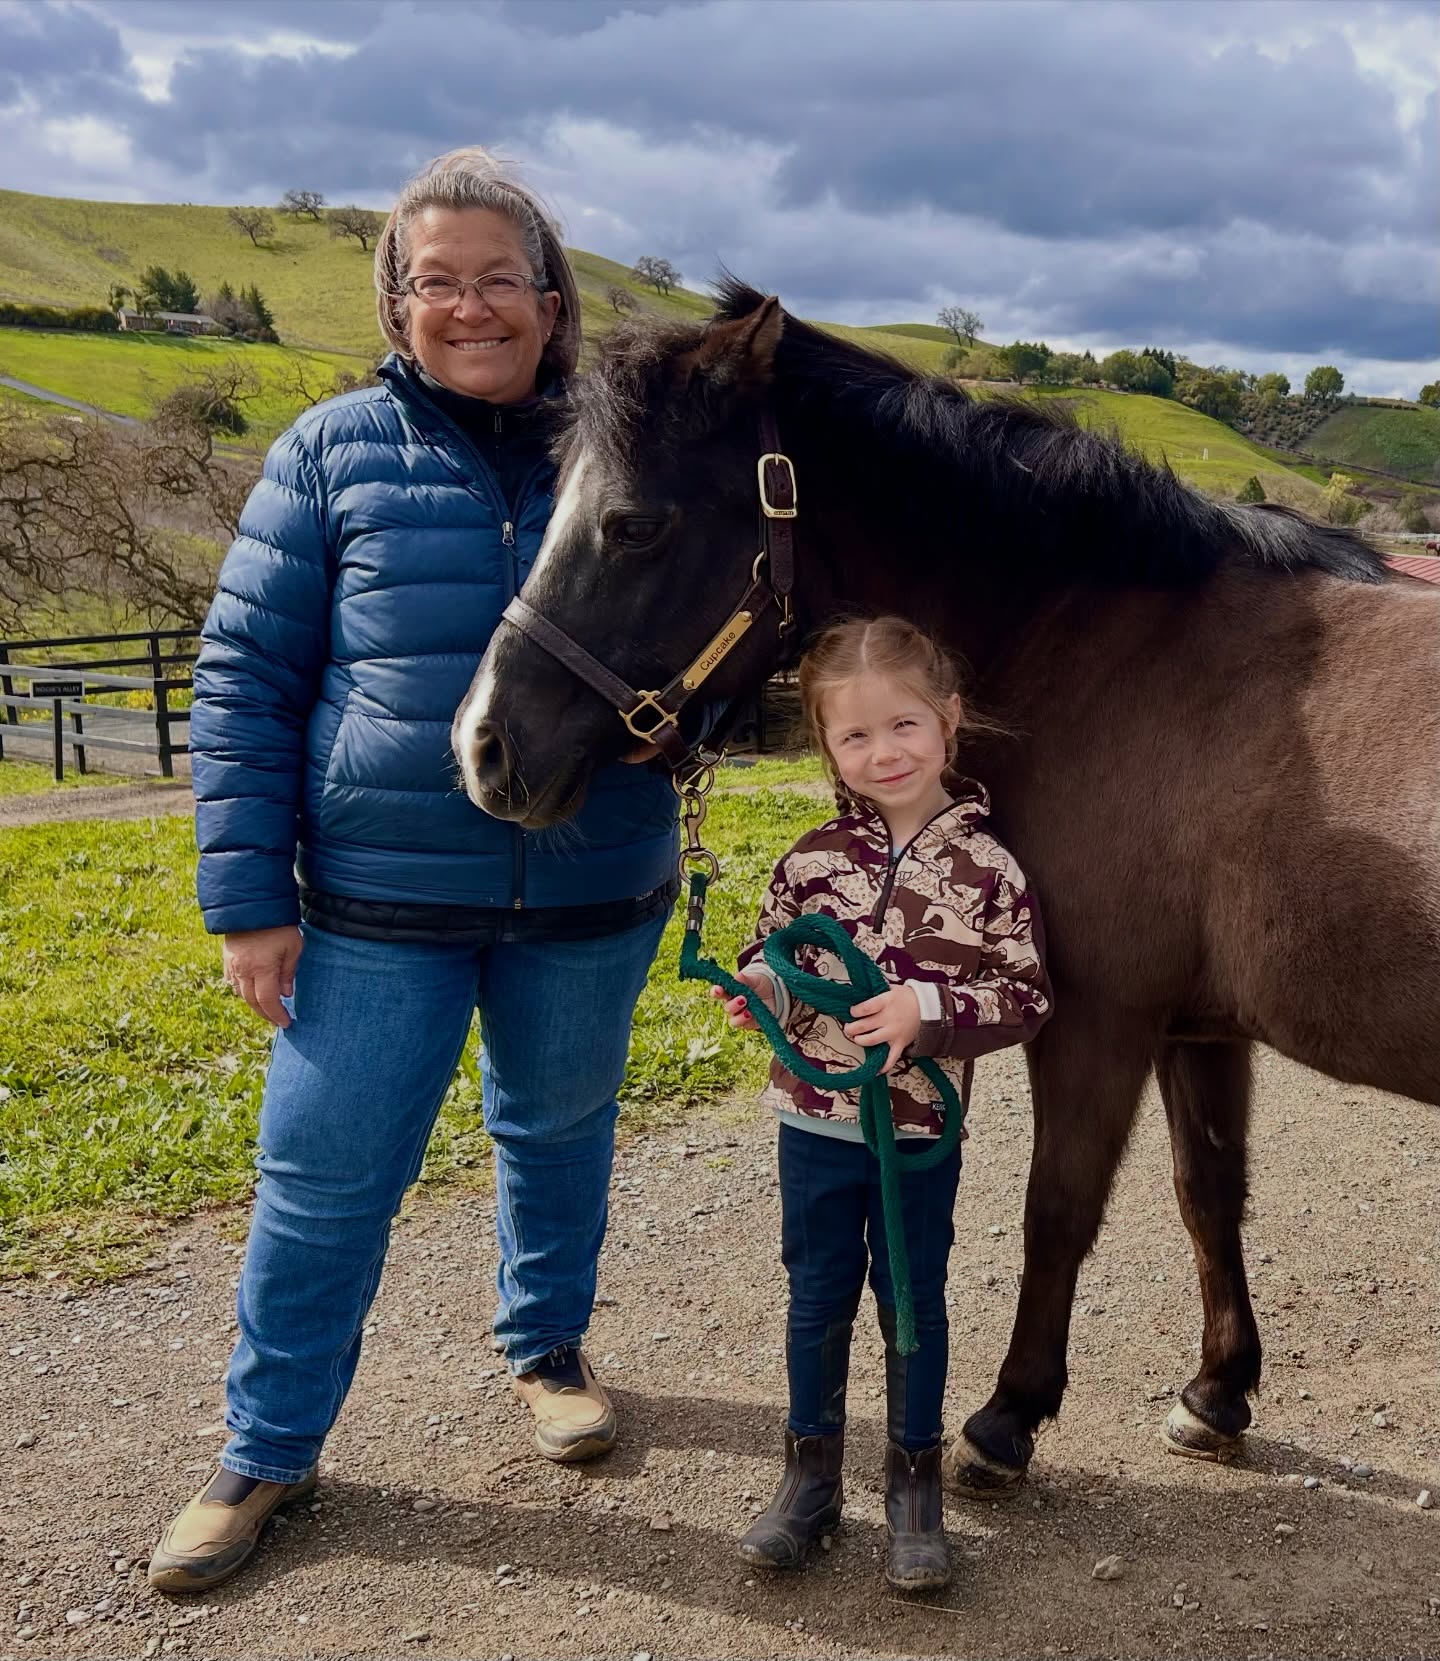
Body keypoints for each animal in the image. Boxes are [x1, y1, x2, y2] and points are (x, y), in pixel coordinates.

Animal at [452, 279, 1440, 1493]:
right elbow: (1208, 1191)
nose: (485, 747)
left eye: (635, 523)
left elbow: (1059, 1205)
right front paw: (1216, 1391)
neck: (1127, 647)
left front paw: (1009, 1414)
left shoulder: (1099, 1014)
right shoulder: (1197, 1026)